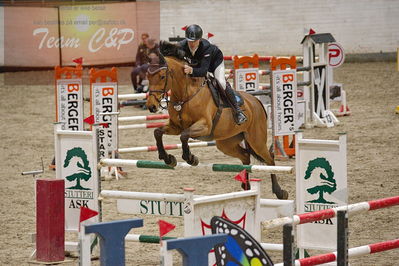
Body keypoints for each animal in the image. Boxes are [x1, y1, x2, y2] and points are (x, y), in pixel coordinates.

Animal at [145, 43, 290, 200]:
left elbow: (184, 136)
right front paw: (167, 158)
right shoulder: (175, 126)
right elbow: (158, 132)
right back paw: (246, 188)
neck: (186, 95)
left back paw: (279, 191)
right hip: (226, 143)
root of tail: (256, 101)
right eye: (148, 76)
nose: (151, 107)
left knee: (270, 159)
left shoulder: (204, 126)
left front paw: (190, 158)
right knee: (245, 156)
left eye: (162, 76)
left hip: (256, 140)